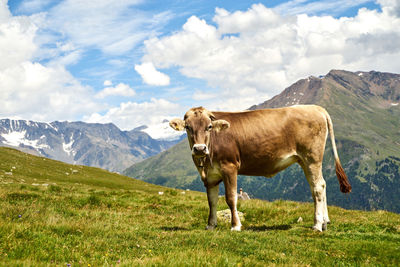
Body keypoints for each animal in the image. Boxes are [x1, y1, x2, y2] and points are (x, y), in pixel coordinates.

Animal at [169, 104, 350, 232]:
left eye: (209, 127)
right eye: (188, 127)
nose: (199, 148)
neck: (206, 162)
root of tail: (315, 108)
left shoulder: (230, 167)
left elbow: (230, 198)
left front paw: (235, 225)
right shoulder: (210, 177)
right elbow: (212, 200)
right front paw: (210, 225)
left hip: (312, 157)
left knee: (318, 187)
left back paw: (317, 225)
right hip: (304, 160)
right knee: (320, 185)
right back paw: (325, 222)